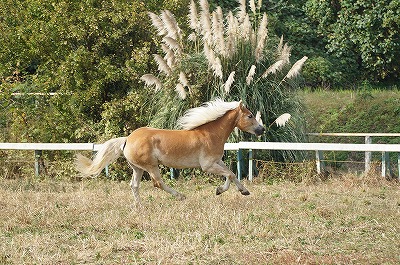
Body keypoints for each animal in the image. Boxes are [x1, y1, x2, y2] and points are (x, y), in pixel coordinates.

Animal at [76, 98, 268, 203]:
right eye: (250, 115)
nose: (262, 129)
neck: (210, 134)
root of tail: (127, 139)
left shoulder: (217, 161)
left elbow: (233, 174)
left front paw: (244, 191)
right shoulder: (208, 165)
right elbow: (229, 174)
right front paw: (219, 190)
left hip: (137, 168)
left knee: (134, 185)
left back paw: (140, 207)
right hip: (151, 166)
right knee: (158, 183)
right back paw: (180, 196)